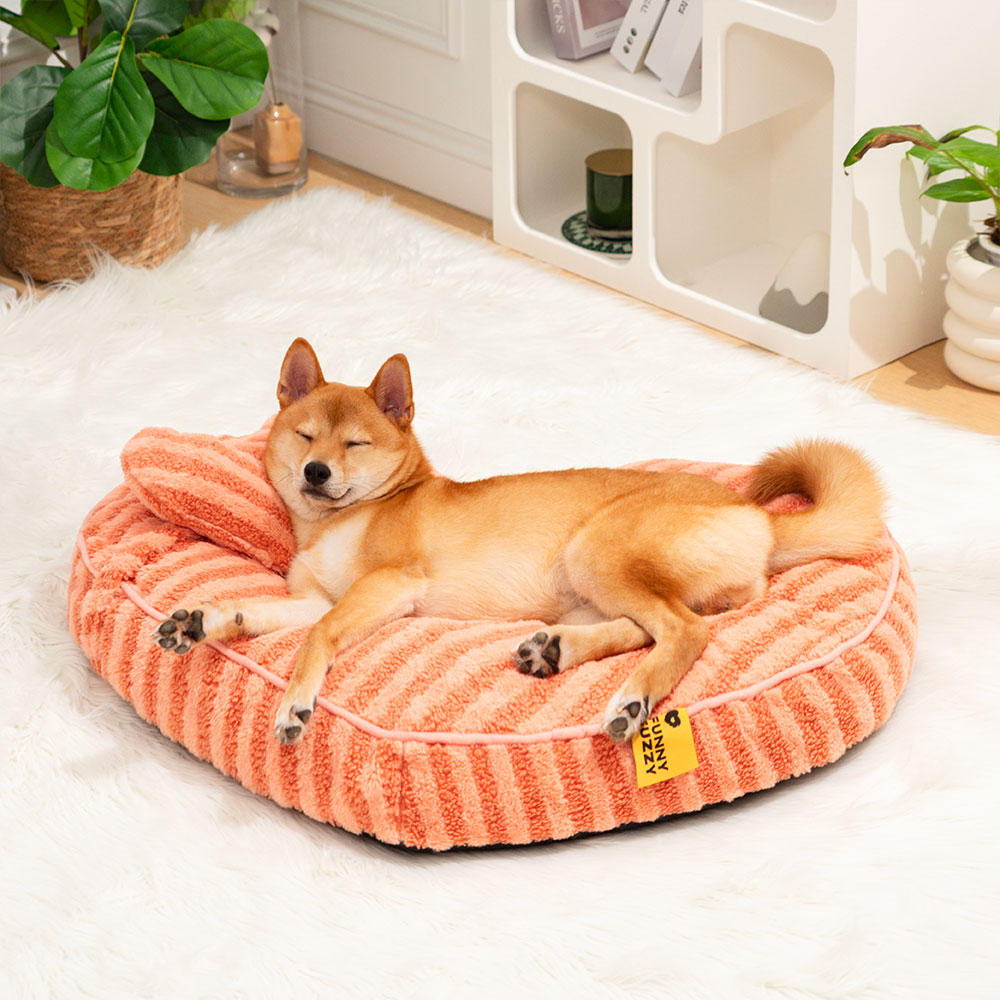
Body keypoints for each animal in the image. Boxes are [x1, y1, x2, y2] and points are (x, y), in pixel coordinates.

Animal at [152, 340, 888, 748]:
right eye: (306, 435)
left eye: (353, 443)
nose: (314, 472)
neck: (337, 522)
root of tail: (755, 514)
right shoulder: (317, 598)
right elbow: (261, 613)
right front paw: (199, 620)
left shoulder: (387, 586)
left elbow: (314, 639)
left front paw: (295, 704)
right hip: (592, 588)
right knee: (643, 627)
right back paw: (554, 652)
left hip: (597, 550)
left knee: (684, 633)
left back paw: (631, 702)